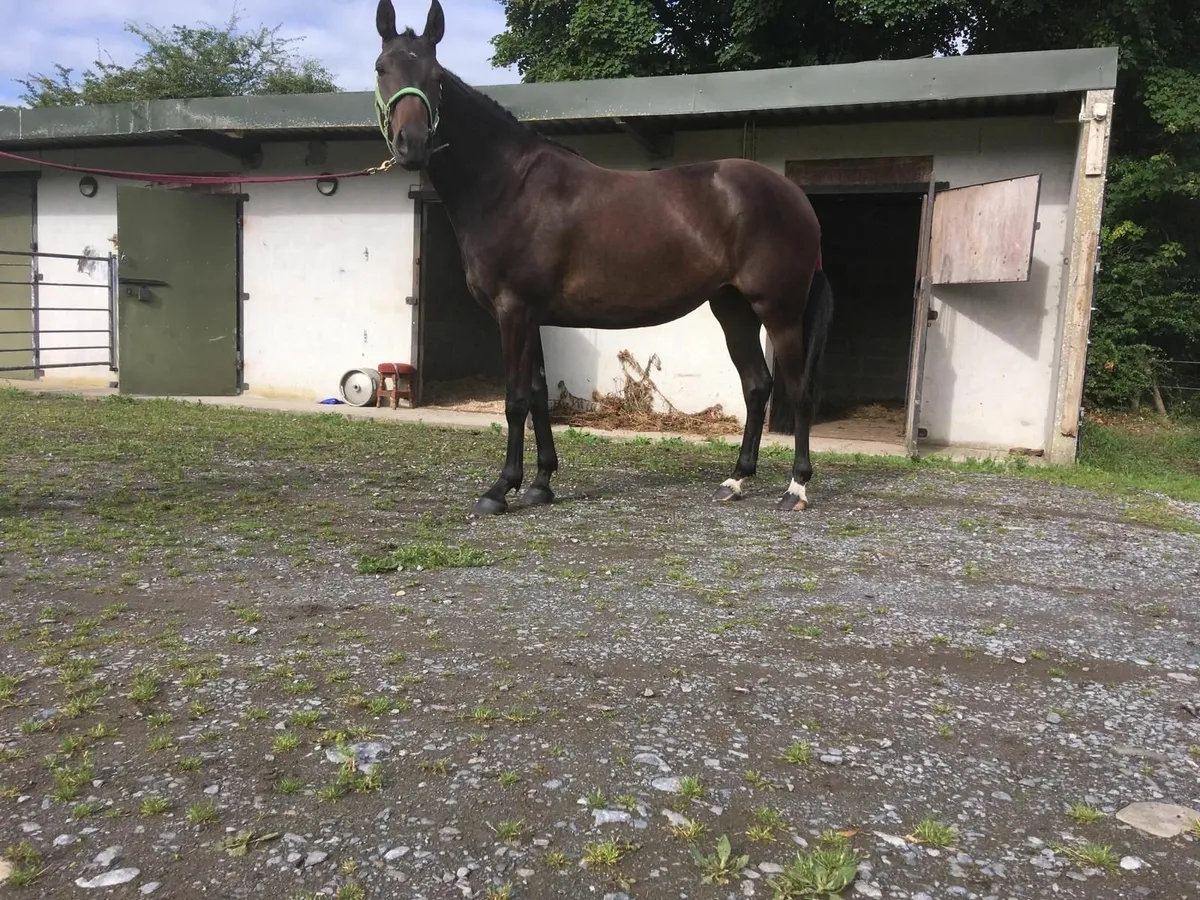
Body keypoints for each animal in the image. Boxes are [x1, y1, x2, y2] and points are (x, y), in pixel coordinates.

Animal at [373, 0, 834, 517]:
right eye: (382, 68)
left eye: (436, 78)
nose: (412, 144)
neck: (510, 187)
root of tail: (795, 197)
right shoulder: (532, 315)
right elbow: (538, 395)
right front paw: (541, 483)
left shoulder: (514, 310)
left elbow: (515, 400)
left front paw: (500, 489)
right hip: (732, 308)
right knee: (757, 386)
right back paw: (735, 480)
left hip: (779, 310)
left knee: (797, 388)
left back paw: (796, 487)